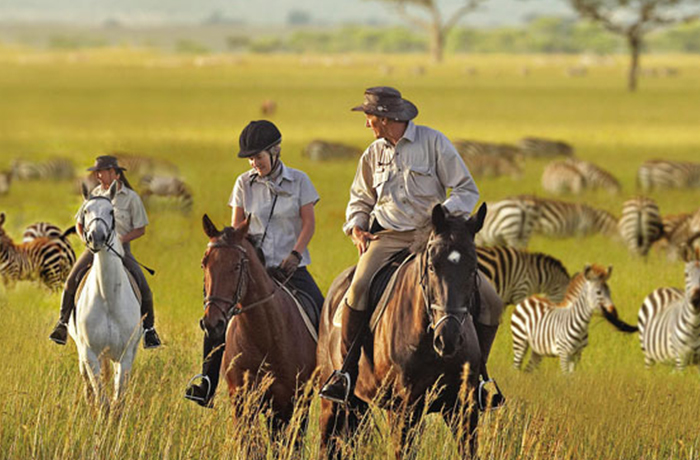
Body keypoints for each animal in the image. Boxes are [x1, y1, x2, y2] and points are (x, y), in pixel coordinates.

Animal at [69, 181, 142, 408]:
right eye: (85, 211)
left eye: (111, 211)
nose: (97, 237)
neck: (108, 298)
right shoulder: (90, 354)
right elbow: (101, 399)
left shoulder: (125, 356)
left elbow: (118, 402)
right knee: (88, 387)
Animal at [318, 203, 488, 458]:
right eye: (432, 266)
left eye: (473, 268)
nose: (447, 339)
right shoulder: (403, 410)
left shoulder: (463, 408)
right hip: (332, 406)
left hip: (358, 404)